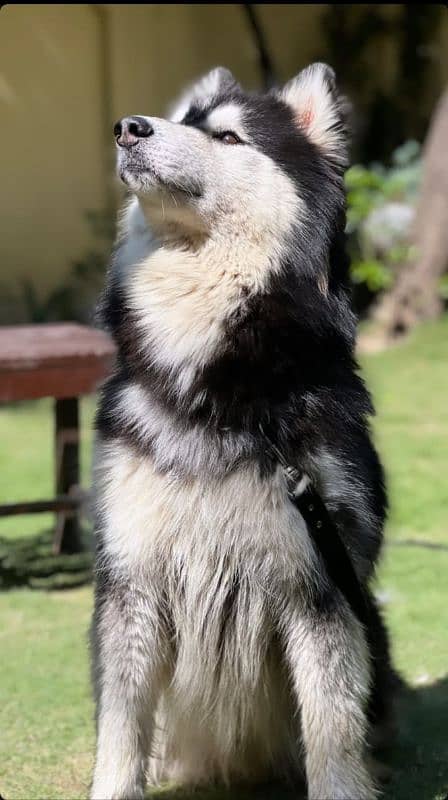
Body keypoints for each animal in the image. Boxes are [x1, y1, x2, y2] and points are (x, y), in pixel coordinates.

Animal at [89, 64, 398, 800]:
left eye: (227, 136)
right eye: (186, 120)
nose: (128, 127)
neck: (220, 388)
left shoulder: (319, 585)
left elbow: (333, 729)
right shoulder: (131, 579)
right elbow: (120, 726)